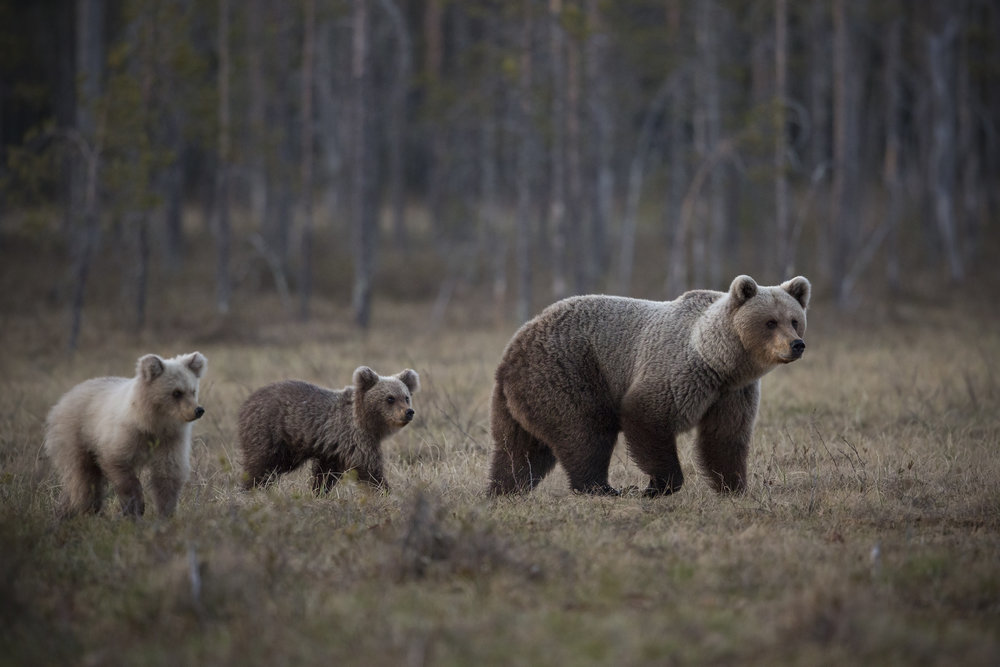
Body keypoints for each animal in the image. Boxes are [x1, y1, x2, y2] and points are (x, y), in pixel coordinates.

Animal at [44, 351, 207, 517]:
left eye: (193, 390)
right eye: (176, 392)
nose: (198, 410)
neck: (151, 425)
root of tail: (64, 398)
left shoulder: (170, 441)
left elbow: (168, 474)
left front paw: (166, 511)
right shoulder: (123, 438)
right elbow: (120, 469)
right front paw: (136, 507)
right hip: (74, 436)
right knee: (83, 477)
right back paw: (85, 509)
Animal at [237, 366, 419, 493]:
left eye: (406, 397)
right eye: (390, 398)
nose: (409, 412)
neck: (367, 423)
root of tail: (247, 403)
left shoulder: (332, 450)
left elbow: (325, 475)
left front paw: (319, 492)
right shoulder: (354, 438)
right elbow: (368, 468)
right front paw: (385, 491)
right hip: (269, 433)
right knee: (260, 465)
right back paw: (249, 489)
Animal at [488, 275, 810, 497]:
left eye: (794, 320)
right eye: (770, 322)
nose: (797, 344)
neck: (720, 361)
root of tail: (515, 344)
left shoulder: (732, 393)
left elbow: (724, 438)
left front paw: (735, 486)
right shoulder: (681, 371)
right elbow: (648, 416)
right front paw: (659, 485)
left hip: (522, 397)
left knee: (519, 449)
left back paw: (503, 489)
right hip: (567, 372)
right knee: (584, 431)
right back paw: (602, 488)